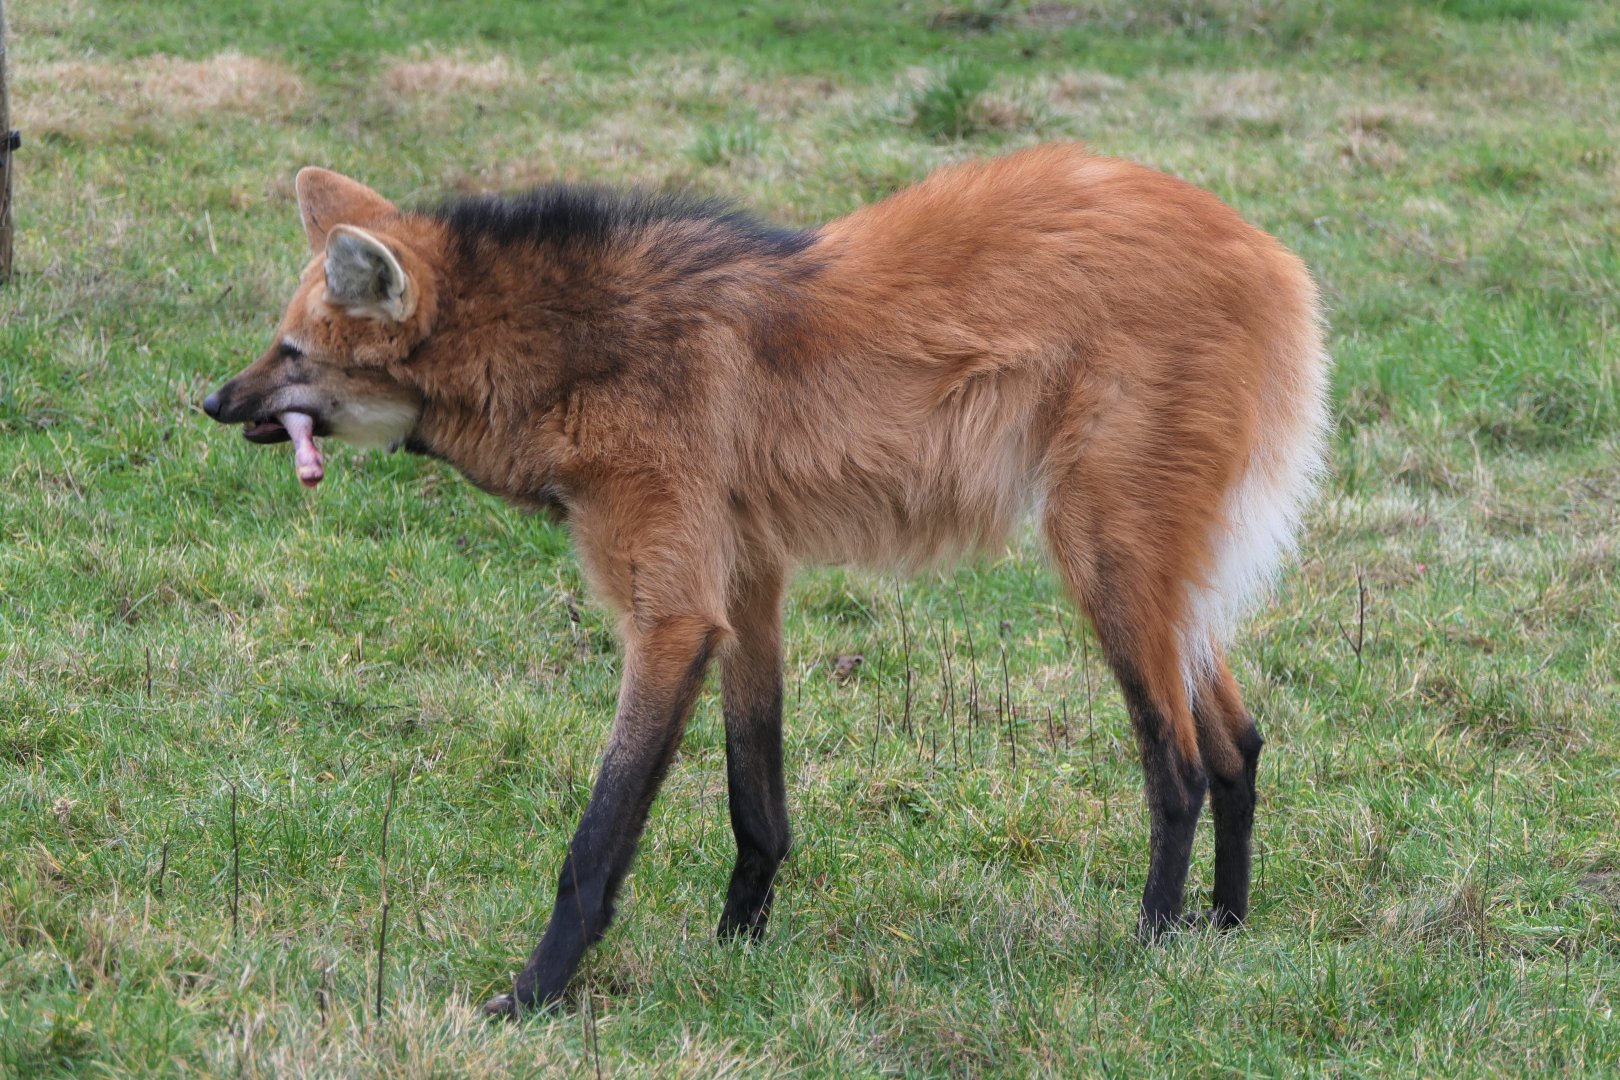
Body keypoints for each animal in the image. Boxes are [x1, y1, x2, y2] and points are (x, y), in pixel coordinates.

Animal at [202, 144, 1331, 1016]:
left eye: (293, 352)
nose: (211, 399)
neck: (578, 354)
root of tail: (1275, 257)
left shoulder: (671, 613)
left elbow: (596, 843)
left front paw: (529, 998)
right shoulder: (744, 578)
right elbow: (759, 799)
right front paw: (735, 951)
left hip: (1102, 553)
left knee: (1177, 762)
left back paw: (1149, 948)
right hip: (1156, 567)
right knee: (1238, 741)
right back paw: (1225, 929)